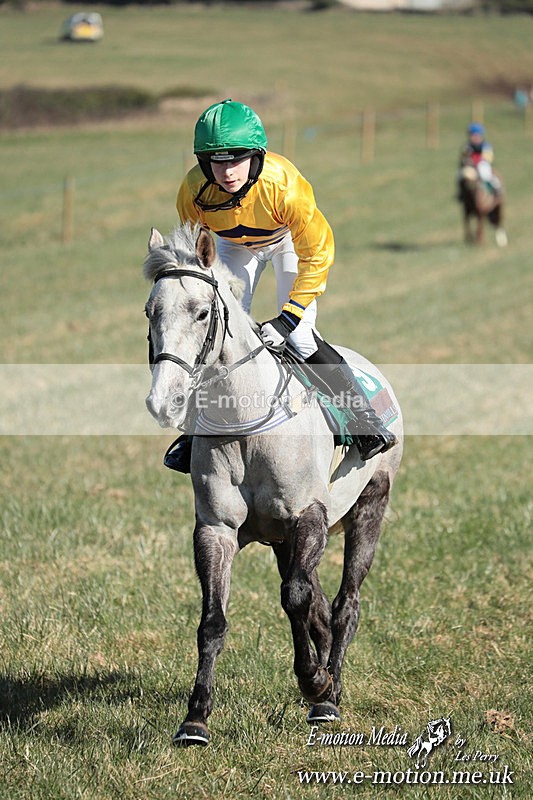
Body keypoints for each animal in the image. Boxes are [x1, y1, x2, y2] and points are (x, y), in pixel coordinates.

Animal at [143, 223, 403, 747]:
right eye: (149, 311)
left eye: (202, 312)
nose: (164, 401)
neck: (246, 425)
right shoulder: (217, 529)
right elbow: (213, 619)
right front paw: (195, 718)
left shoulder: (309, 517)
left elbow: (297, 599)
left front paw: (316, 684)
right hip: (284, 539)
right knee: (316, 603)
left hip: (370, 505)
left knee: (344, 603)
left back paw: (331, 692)